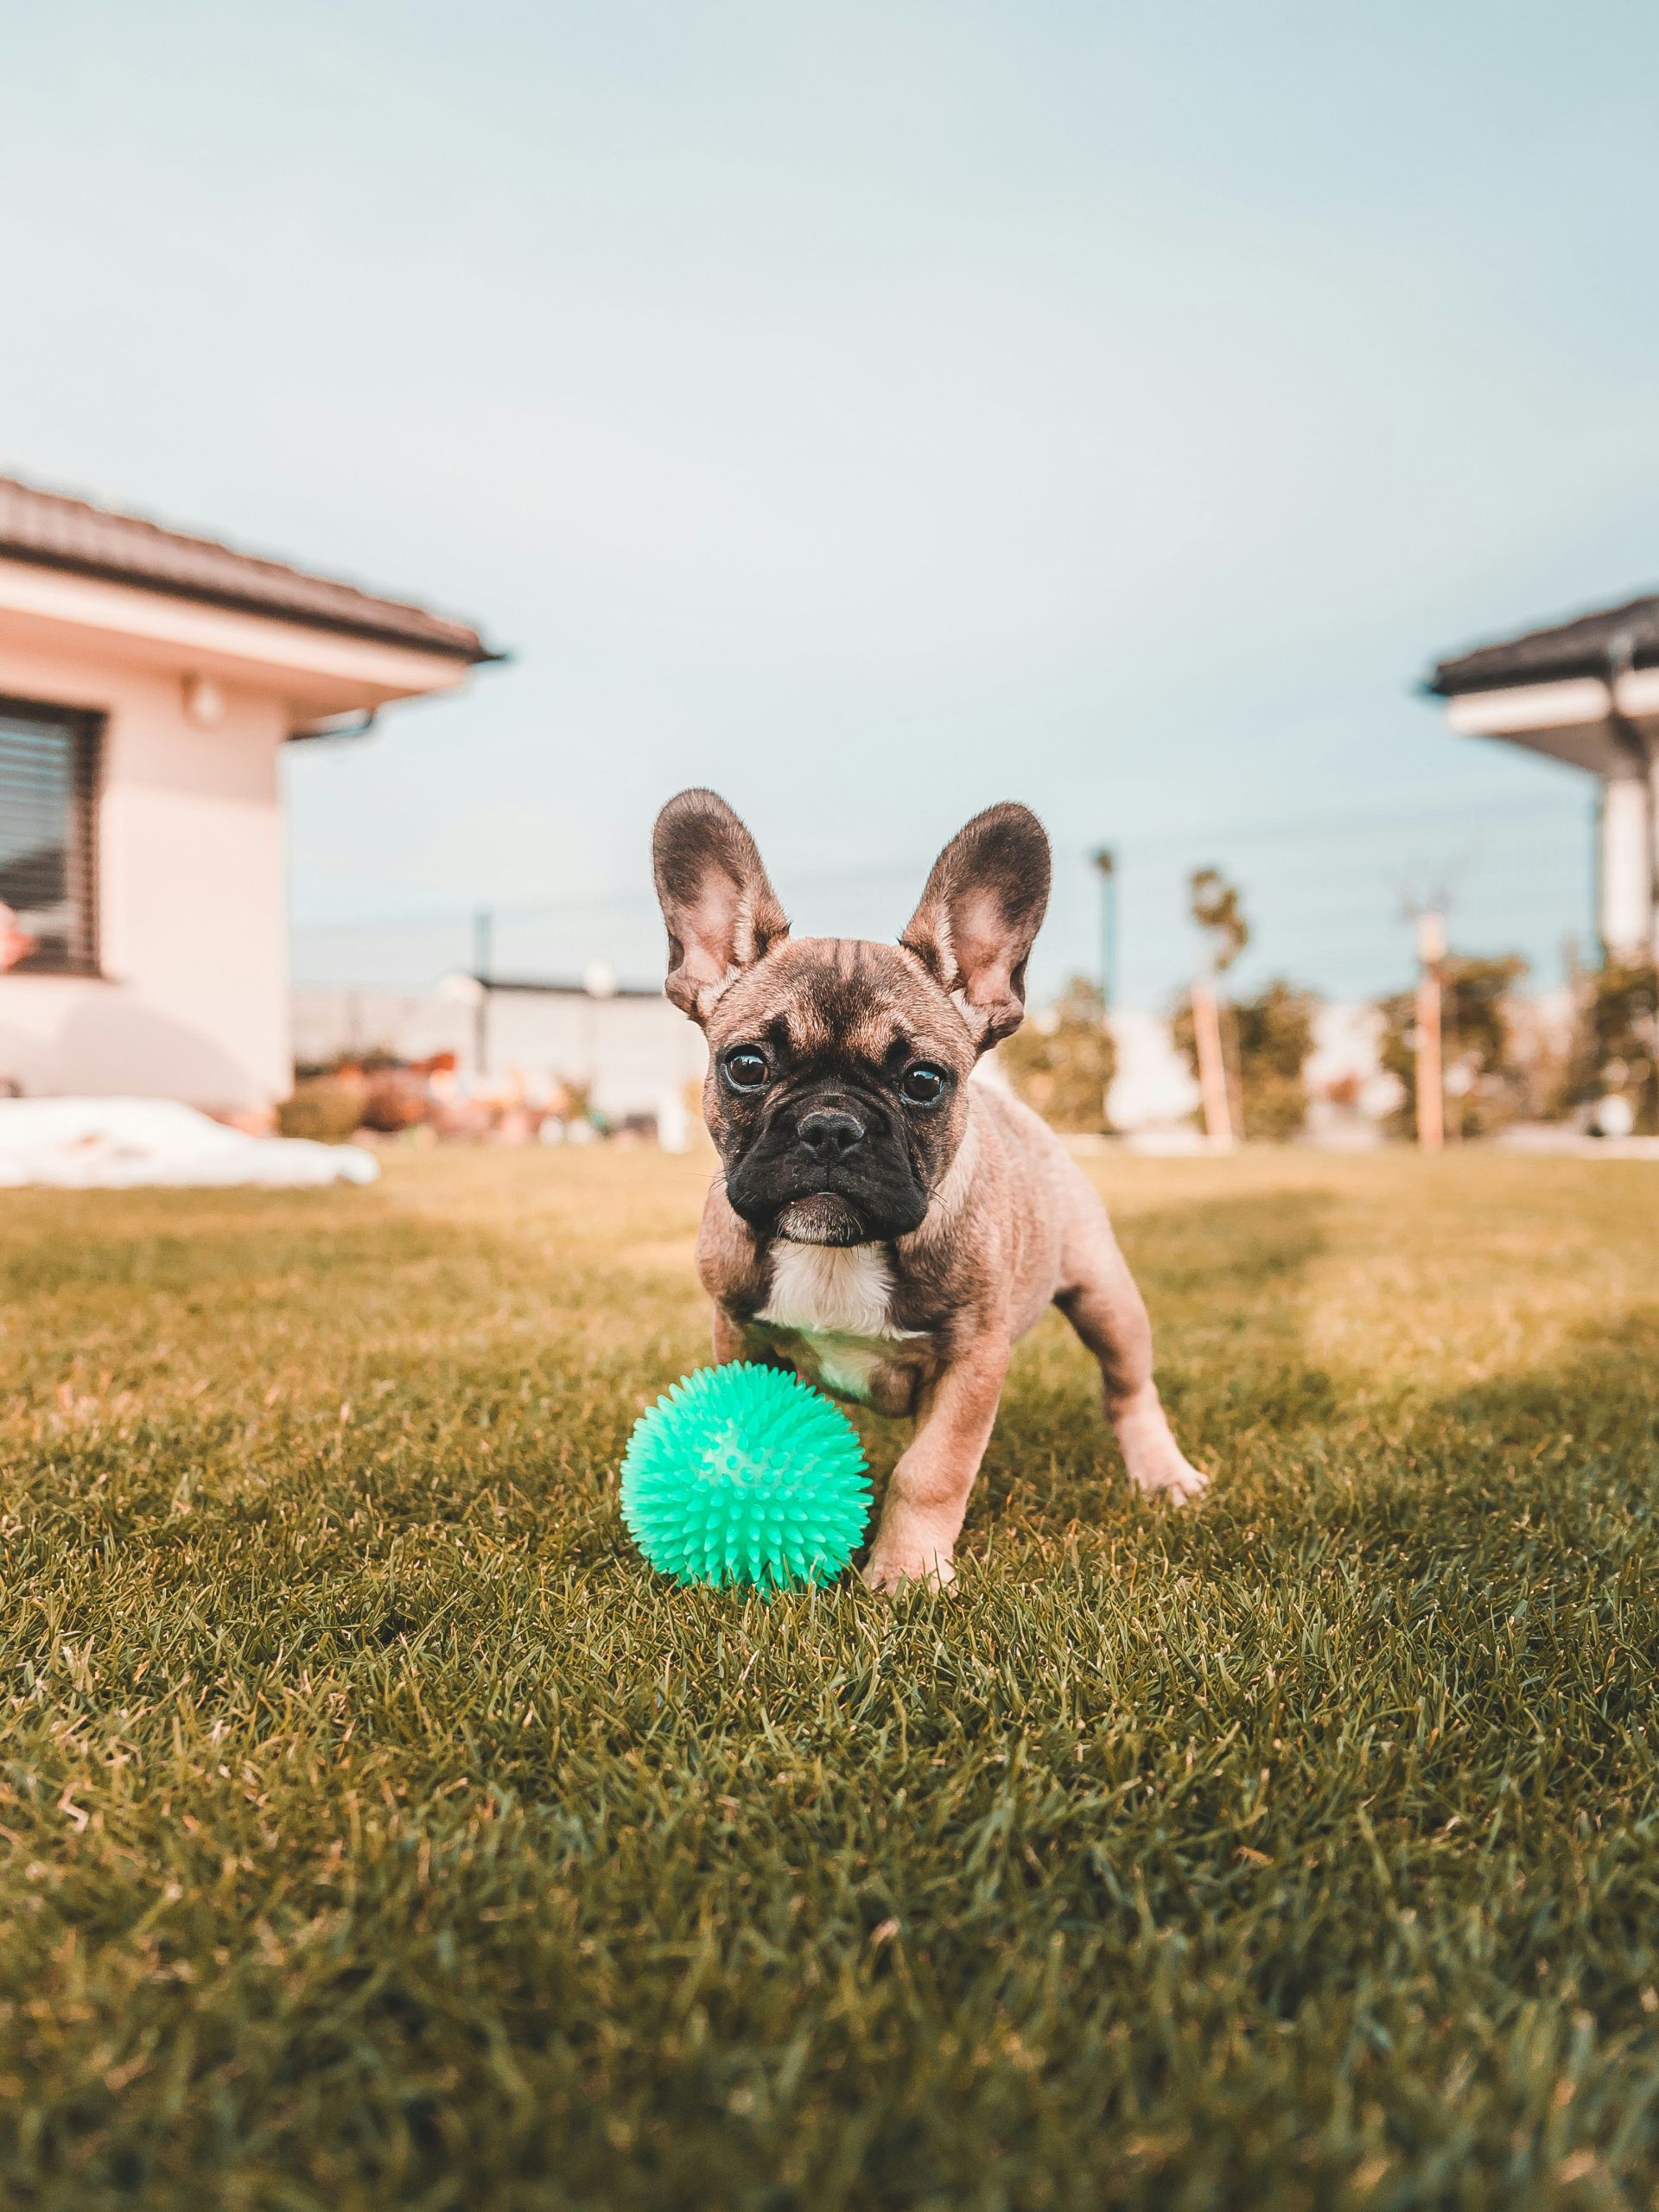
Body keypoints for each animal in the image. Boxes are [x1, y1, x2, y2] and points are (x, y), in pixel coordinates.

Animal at [650, 791, 1211, 1592]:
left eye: (923, 1081)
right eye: (748, 1066)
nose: (830, 1125)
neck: (840, 1253)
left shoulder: (973, 1360)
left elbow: (932, 1471)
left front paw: (909, 1573)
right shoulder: (738, 1332)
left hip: (1107, 1296)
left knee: (1129, 1386)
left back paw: (1163, 1473)